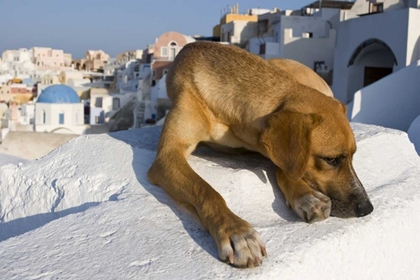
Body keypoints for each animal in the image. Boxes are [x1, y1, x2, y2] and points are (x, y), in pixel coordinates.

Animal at [148, 41, 374, 266]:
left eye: (352, 156)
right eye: (331, 159)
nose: (367, 208)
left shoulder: (266, 144)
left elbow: (286, 169)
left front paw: (306, 196)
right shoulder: (168, 156)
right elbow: (205, 189)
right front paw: (237, 232)